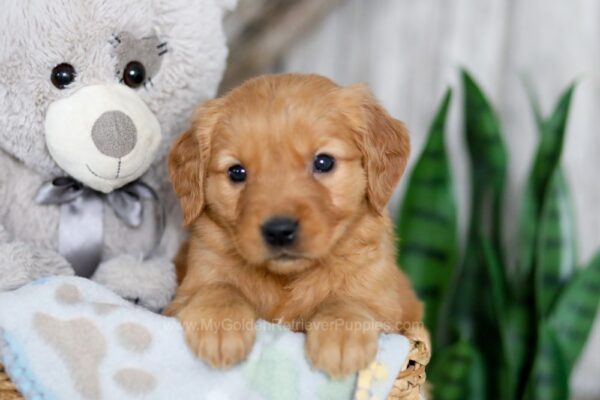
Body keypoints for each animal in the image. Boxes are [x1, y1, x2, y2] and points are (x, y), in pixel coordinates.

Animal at [166, 73, 424, 376]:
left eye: (324, 162)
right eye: (237, 172)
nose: (279, 231)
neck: (286, 279)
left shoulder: (385, 305)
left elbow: (347, 299)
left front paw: (341, 336)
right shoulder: (187, 288)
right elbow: (220, 287)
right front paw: (219, 323)